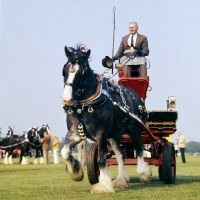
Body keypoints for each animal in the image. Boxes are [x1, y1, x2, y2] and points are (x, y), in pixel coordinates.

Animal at [61, 45, 152, 194]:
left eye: (81, 73)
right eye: (64, 70)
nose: (66, 100)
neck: (85, 105)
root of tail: (135, 95)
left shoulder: (101, 134)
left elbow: (101, 160)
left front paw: (103, 186)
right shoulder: (75, 134)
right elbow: (65, 152)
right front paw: (76, 173)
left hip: (134, 129)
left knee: (139, 149)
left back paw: (144, 173)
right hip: (114, 135)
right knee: (121, 155)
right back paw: (121, 179)